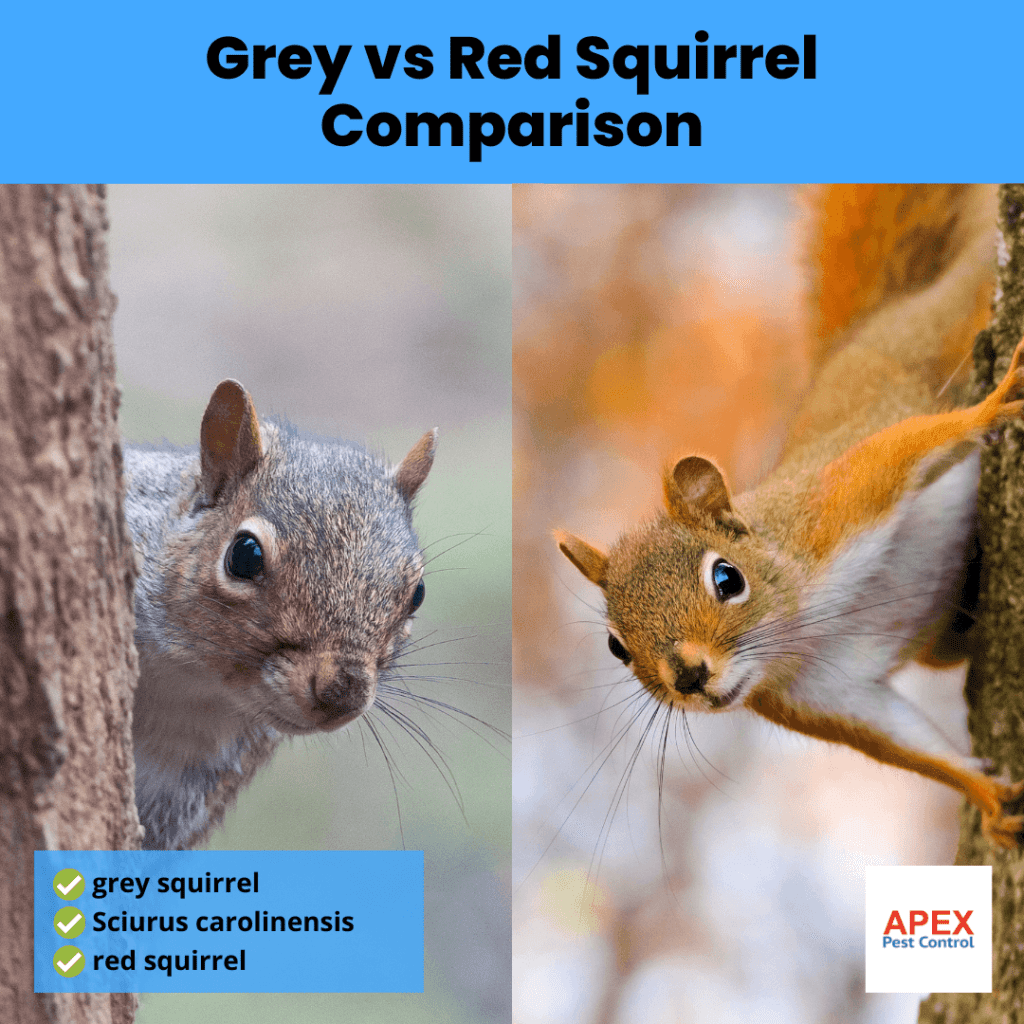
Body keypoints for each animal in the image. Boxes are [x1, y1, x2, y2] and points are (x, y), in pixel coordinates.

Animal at [555, 184, 1024, 849]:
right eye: (617, 647)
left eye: (727, 578)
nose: (689, 677)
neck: (803, 628)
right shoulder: (823, 698)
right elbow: (908, 745)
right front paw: (986, 796)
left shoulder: (834, 508)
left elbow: (902, 452)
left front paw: (992, 406)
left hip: (945, 329)